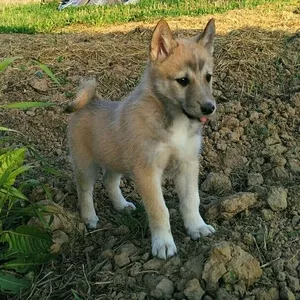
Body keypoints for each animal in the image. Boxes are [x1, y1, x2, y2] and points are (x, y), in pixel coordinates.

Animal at [68, 18, 217, 258]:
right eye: (183, 80)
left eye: (208, 77)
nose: (209, 108)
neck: (173, 121)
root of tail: (91, 101)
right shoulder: (147, 171)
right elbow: (159, 210)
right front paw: (163, 243)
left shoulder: (188, 164)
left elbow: (191, 200)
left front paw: (197, 227)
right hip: (85, 165)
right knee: (85, 191)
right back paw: (89, 218)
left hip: (115, 160)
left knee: (109, 181)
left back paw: (121, 205)